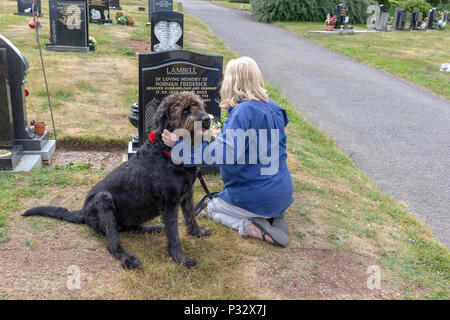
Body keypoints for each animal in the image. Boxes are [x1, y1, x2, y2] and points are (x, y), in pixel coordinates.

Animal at [23, 91, 214, 268]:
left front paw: (197, 232)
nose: (207, 119)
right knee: (112, 243)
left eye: (199, 105)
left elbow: (190, 215)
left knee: (130, 229)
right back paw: (128, 258)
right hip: (104, 200)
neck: (167, 151)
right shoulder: (170, 203)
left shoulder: (187, 193)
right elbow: (174, 233)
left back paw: (151, 228)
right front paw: (181, 259)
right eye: (185, 110)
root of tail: (83, 212)